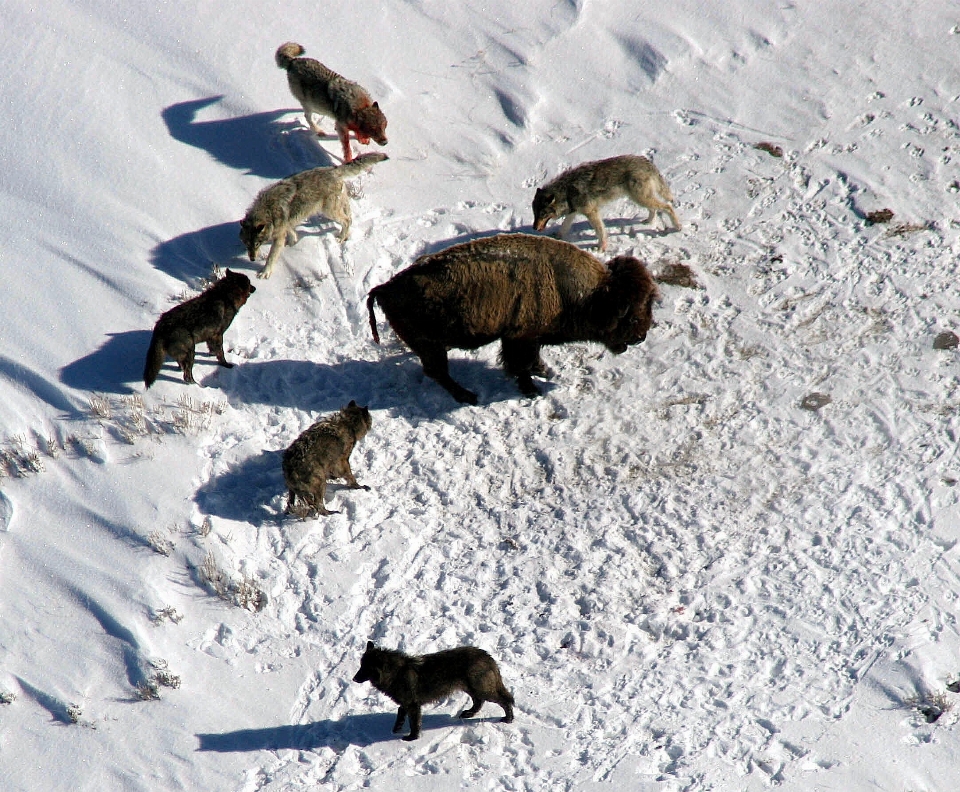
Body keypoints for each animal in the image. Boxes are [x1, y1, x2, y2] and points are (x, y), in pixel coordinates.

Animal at [239, 153, 386, 280]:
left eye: (257, 243)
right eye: (247, 243)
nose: (252, 258)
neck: (268, 210)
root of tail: (332, 170)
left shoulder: (278, 237)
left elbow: (271, 257)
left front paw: (265, 272)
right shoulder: (287, 224)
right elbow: (291, 232)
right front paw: (292, 243)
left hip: (329, 211)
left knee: (347, 220)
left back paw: (340, 238)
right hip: (338, 205)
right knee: (349, 215)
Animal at [352, 640, 516, 740]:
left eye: (365, 668)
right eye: (361, 665)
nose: (353, 679)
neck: (395, 673)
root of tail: (487, 656)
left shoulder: (413, 705)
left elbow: (414, 723)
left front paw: (412, 738)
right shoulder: (407, 703)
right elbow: (400, 713)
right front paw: (397, 728)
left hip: (483, 690)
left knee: (505, 701)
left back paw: (508, 719)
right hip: (470, 688)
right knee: (479, 701)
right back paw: (468, 713)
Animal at [368, 232, 660, 406]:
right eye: (630, 314)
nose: (641, 337)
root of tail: (385, 288)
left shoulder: (526, 338)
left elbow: (532, 359)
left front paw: (544, 371)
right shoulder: (521, 338)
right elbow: (521, 364)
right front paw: (532, 389)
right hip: (430, 346)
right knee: (438, 372)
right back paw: (468, 396)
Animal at [528, 155, 680, 251]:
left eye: (543, 214)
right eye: (535, 214)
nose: (534, 228)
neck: (567, 192)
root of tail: (647, 161)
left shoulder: (592, 212)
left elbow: (600, 231)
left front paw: (601, 248)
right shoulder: (574, 211)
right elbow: (564, 225)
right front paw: (558, 237)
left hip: (641, 198)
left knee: (668, 206)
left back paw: (677, 227)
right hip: (640, 199)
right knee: (654, 209)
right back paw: (648, 222)